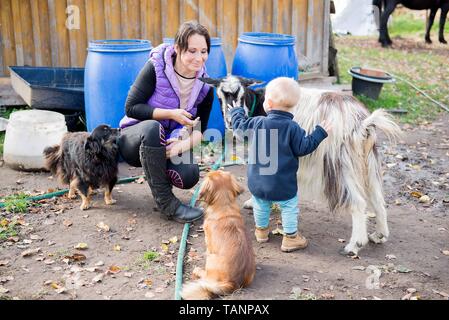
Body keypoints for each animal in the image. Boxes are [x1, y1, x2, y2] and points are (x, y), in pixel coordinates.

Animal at [179, 170, 256, 300]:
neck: (224, 206)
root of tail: (232, 283)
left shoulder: (209, 243)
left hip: (211, 258)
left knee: (206, 277)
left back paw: (198, 271)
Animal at [201, 74, 400, 255]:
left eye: (241, 96)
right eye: (219, 97)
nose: (229, 121)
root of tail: (361, 123)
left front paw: (252, 202)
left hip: (340, 163)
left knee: (358, 202)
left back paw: (354, 245)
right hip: (367, 160)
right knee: (377, 198)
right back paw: (379, 235)